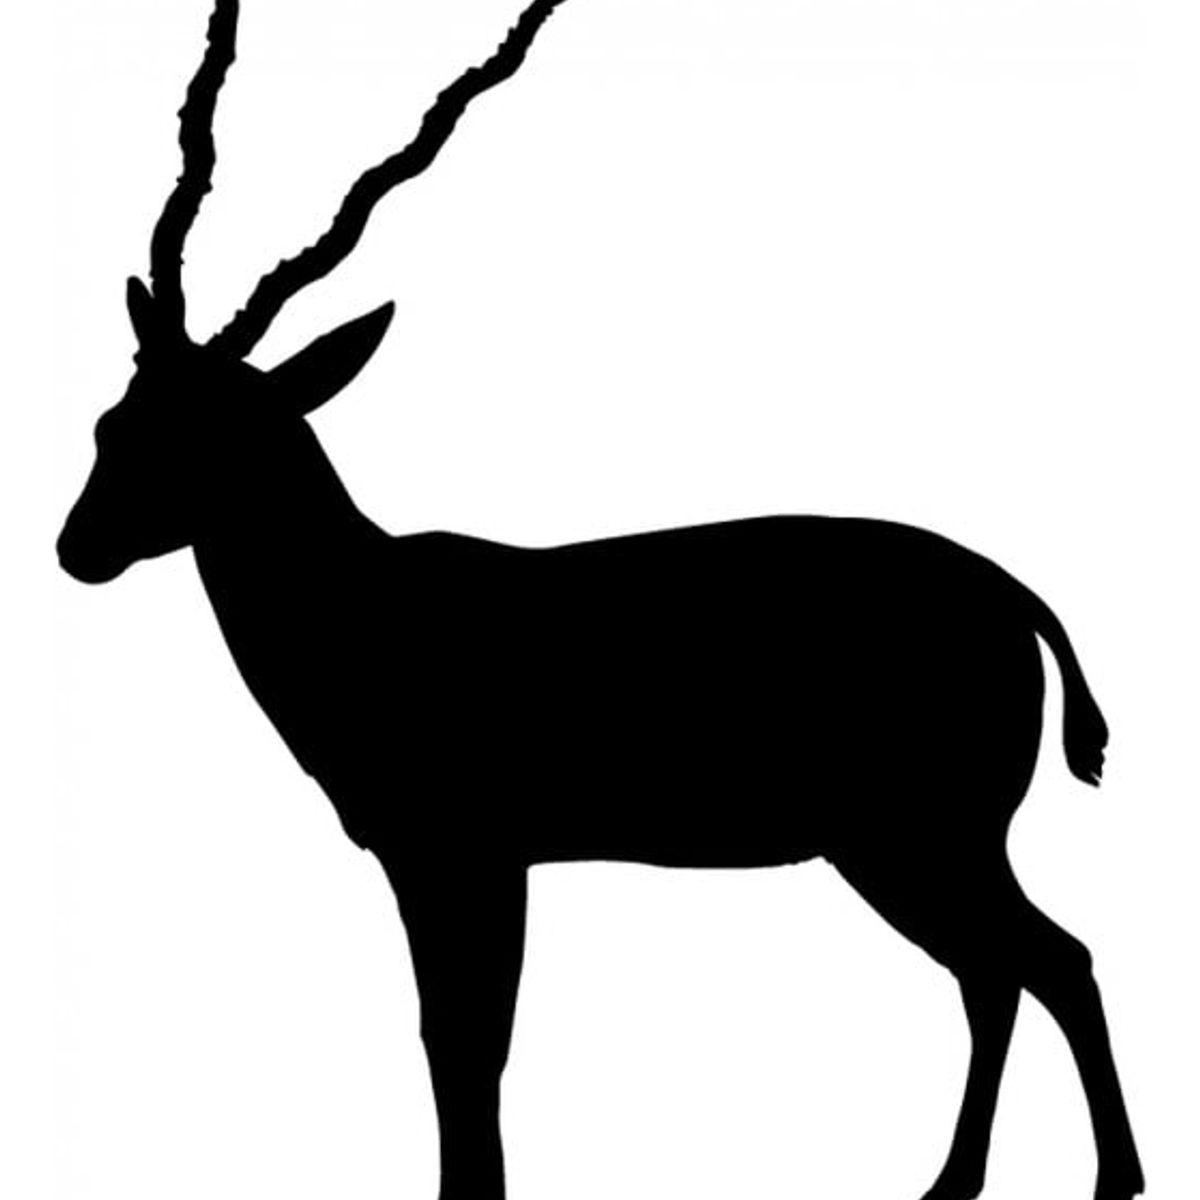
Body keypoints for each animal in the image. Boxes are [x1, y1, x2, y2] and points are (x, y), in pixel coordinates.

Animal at [57, 2, 1144, 1198]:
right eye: (114, 422)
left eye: (212, 438)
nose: (76, 548)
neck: (370, 607)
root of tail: (1013, 592)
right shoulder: (460, 858)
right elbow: (460, 1037)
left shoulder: (463, 850)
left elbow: (467, 1039)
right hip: (909, 843)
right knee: (998, 972)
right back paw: (950, 1183)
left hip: (919, 831)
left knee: (1049, 958)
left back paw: (1108, 1179)